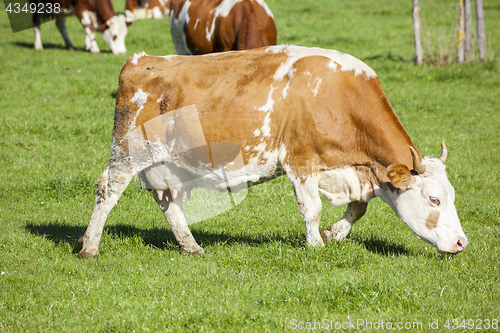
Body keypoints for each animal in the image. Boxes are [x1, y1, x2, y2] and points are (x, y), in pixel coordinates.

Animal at [79, 44, 468, 256]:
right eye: (434, 199)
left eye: (451, 196)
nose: (462, 242)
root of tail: (144, 59)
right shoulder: (301, 161)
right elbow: (311, 209)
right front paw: (316, 245)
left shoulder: (352, 170)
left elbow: (359, 207)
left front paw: (334, 234)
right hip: (128, 151)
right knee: (108, 188)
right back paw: (89, 247)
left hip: (172, 164)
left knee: (168, 201)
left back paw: (191, 246)